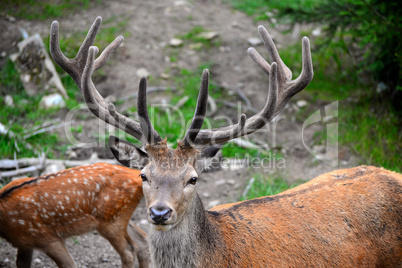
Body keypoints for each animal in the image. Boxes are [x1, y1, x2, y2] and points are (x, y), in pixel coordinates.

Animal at [0, 163, 150, 268]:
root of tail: (137, 176)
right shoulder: (25, 243)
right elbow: (21, 263)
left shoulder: (47, 238)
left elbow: (69, 264)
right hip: (118, 217)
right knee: (142, 241)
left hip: (111, 222)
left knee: (129, 251)